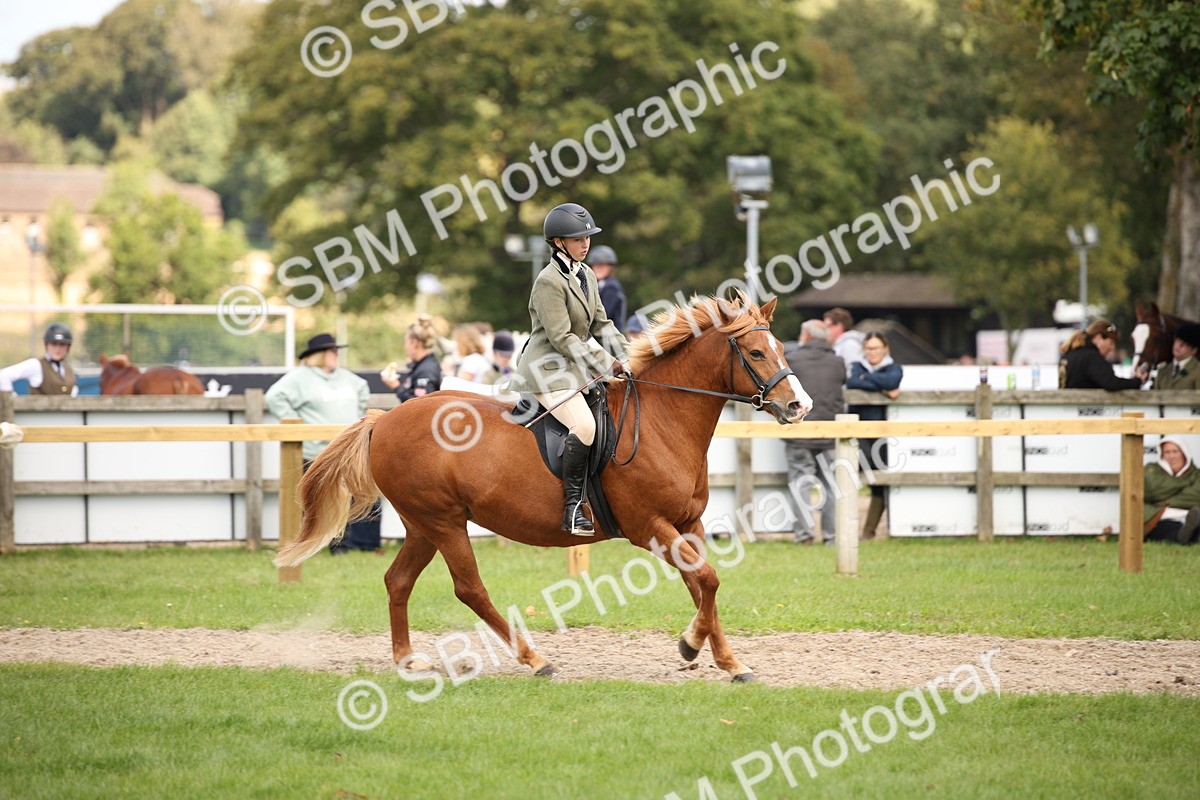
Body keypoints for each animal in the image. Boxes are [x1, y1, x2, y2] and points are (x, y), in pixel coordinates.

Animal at [276, 295, 812, 683]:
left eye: (783, 349)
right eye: (757, 353)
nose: (799, 406)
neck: (663, 420)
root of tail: (384, 419)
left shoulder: (687, 523)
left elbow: (703, 584)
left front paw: (725, 660)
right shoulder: (649, 526)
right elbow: (707, 580)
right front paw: (692, 647)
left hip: (422, 524)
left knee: (398, 581)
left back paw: (408, 660)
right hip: (443, 522)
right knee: (470, 588)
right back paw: (535, 660)